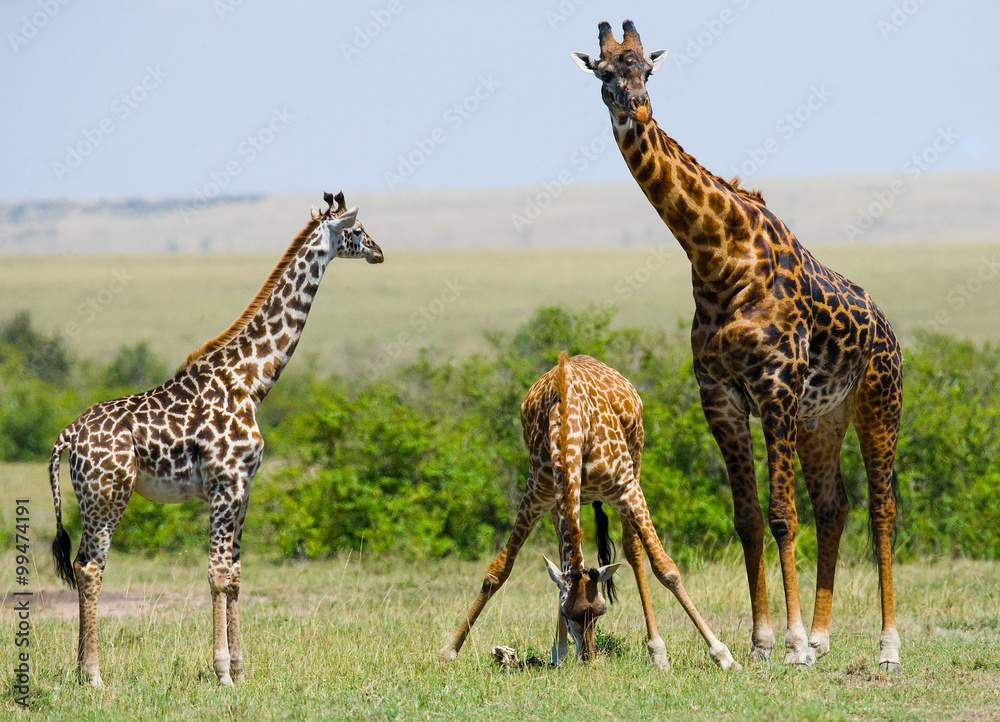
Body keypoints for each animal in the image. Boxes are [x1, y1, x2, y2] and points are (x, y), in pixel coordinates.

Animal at [48, 192, 383, 687]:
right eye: (357, 230)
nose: (379, 251)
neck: (251, 380)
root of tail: (68, 435)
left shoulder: (244, 486)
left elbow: (237, 573)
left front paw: (241, 668)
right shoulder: (225, 484)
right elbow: (218, 575)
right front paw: (222, 671)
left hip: (92, 497)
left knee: (79, 564)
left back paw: (77, 669)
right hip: (107, 496)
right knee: (90, 568)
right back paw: (93, 675)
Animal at [440, 352, 740, 672]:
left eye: (600, 612)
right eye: (569, 614)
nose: (588, 659)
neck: (568, 425)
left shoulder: (626, 488)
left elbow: (666, 568)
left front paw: (722, 654)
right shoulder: (538, 493)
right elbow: (499, 570)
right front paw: (449, 650)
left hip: (636, 463)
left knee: (633, 549)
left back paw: (656, 650)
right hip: (563, 502)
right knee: (565, 554)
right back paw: (559, 652)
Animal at [573, 21, 904, 672]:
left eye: (648, 69)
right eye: (605, 72)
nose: (636, 106)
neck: (717, 257)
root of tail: (889, 330)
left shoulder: (774, 388)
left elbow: (780, 514)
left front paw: (792, 644)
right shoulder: (721, 396)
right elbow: (748, 517)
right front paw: (765, 640)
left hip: (879, 399)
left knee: (882, 507)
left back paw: (886, 646)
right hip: (822, 419)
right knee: (835, 505)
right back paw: (825, 637)